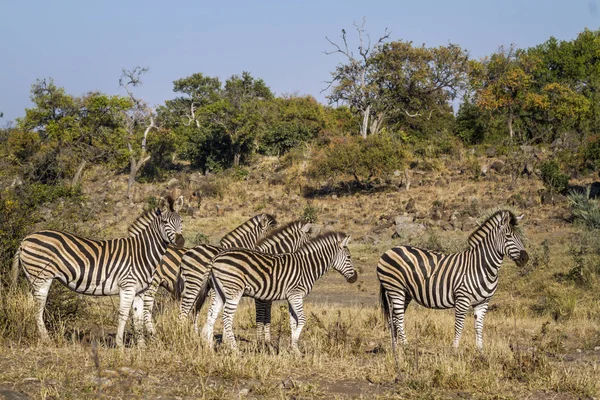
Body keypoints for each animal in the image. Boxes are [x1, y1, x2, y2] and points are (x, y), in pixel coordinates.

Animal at [12, 195, 185, 346]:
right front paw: (120, 345)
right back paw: (46, 339)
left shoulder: (140, 291)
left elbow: (138, 318)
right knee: (38, 308)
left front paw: (141, 347)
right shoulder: (127, 286)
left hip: (33, 278)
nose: (180, 241)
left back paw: (31, 333)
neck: (142, 252)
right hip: (42, 277)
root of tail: (24, 240)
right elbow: (123, 315)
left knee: (30, 304)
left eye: (181, 221)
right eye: (164, 221)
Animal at [206, 231, 356, 354]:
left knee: (212, 314)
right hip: (234, 290)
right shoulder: (296, 295)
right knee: (227, 317)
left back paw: (208, 347)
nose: (355, 278)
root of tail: (217, 257)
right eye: (349, 257)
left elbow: (293, 322)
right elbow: (302, 319)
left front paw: (294, 348)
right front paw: (294, 346)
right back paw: (235, 349)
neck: (307, 267)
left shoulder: (291, 297)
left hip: (220, 291)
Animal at [378, 208, 528, 352]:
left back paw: (395, 347)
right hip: (395, 289)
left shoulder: (483, 302)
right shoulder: (462, 299)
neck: (482, 266)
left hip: (405, 292)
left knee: (394, 318)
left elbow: (479, 327)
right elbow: (459, 325)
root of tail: (390, 250)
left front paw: (480, 352)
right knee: (399, 319)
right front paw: (455, 350)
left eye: (519, 236)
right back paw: (406, 347)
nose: (525, 258)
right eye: (508, 236)